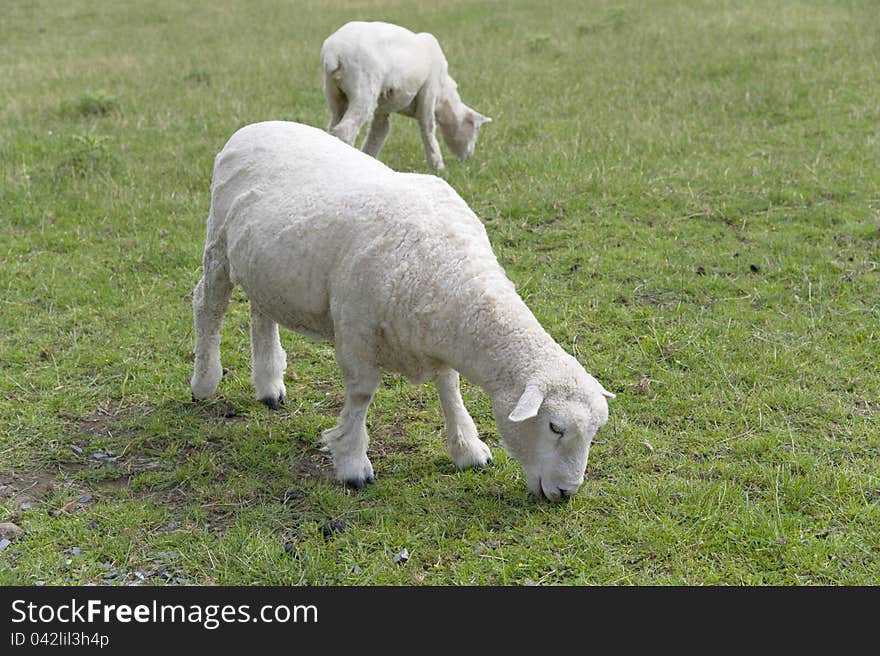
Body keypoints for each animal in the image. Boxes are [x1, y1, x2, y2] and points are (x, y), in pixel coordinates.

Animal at [189, 123, 616, 500]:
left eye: (593, 432)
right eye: (555, 427)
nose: (566, 493)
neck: (449, 270)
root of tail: (254, 126)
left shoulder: (432, 334)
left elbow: (449, 386)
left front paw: (466, 448)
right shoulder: (356, 330)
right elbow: (361, 395)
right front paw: (352, 463)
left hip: (264, 266)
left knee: (261, 313)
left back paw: (268, 386)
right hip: (218, 246)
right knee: (208, 306)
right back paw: (204, 382)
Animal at [320, 21, 492, 172]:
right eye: (476, 130)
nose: (468, 158)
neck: (444, 99)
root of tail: (334, 53)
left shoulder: (383, 108)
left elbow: (379, 132)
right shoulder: (429, 91)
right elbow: (428, 128)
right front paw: (437, 166)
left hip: (335, 94)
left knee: (333, 126)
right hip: (364, 88)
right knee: (345, 130)